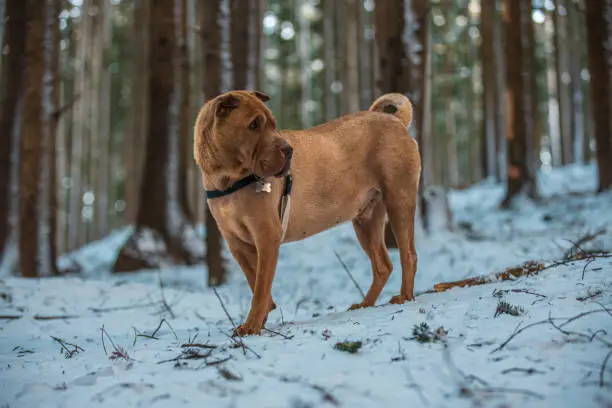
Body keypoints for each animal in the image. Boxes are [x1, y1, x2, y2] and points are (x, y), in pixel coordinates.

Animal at [195, 91, 420, 336]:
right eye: (254, 125)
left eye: (273, 124)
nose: (288, 150)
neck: (228, 179)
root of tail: (396, 121)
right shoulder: (237, 245)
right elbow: (255, 281)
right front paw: (263, 315)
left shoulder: (267, 237)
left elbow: (260, 287)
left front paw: (251, 326)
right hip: (366, 220)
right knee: (383, 266)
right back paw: (364, 304)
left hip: (399, 201)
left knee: (408, 255)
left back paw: (405, 296)